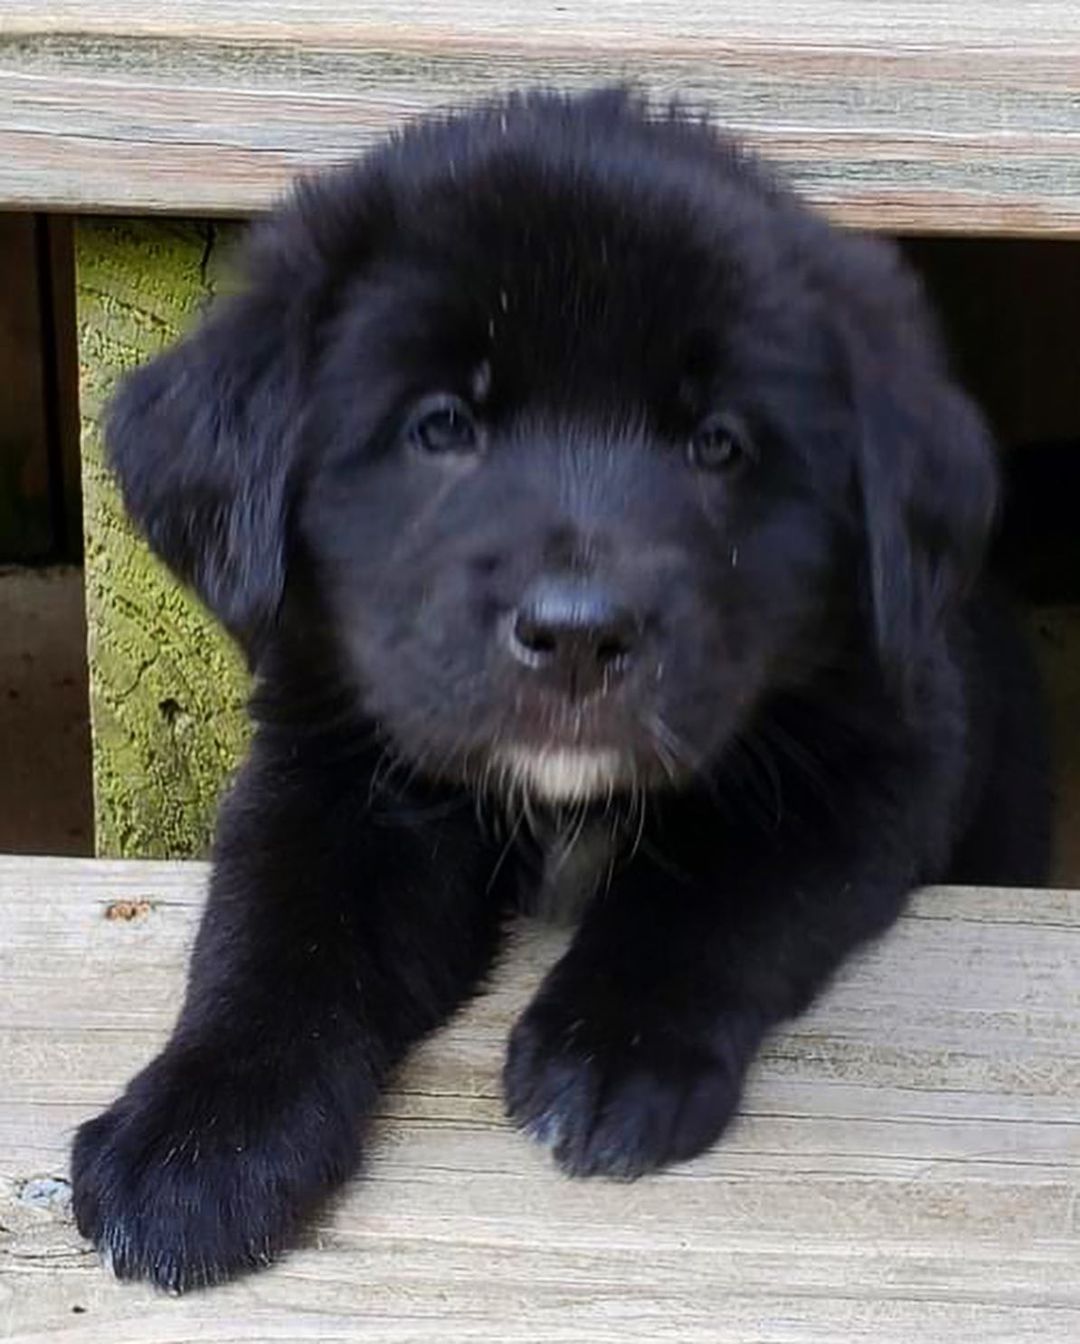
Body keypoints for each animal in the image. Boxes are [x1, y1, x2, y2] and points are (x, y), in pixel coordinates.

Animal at [71, 86, 1053, 1290]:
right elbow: (274, 931)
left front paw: (611, 1052)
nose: (580, 635)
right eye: (441, 426)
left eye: (717, 444)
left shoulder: (877, 756)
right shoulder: (332, 765)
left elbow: (724, 884)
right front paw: (198, 1139)